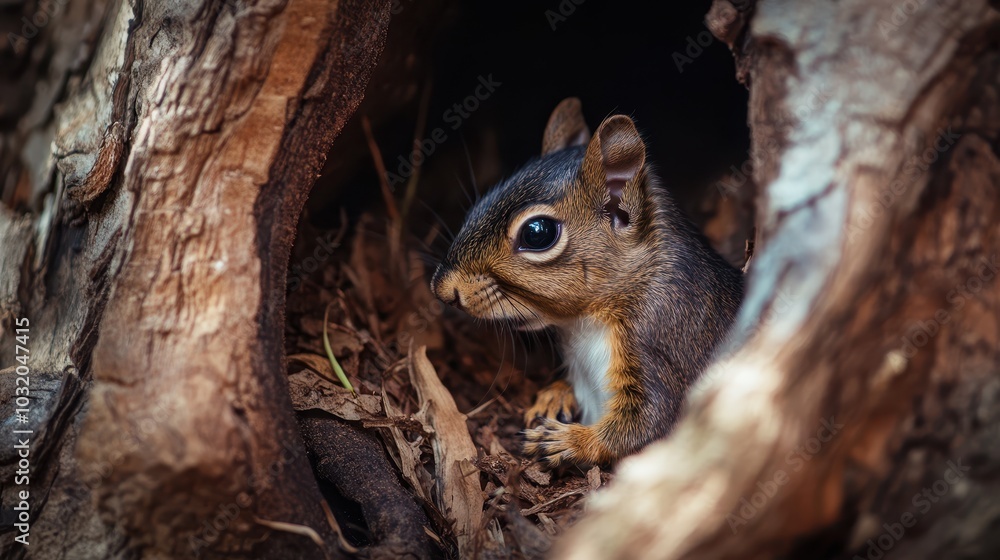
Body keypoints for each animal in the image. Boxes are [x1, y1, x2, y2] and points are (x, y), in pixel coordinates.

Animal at [430, 98, 745, 467]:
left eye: (537, 233)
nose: (442, 289)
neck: (584, 322)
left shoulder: (663, 340)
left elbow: (649, 426)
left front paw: (569, 441)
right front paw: (555, 395)